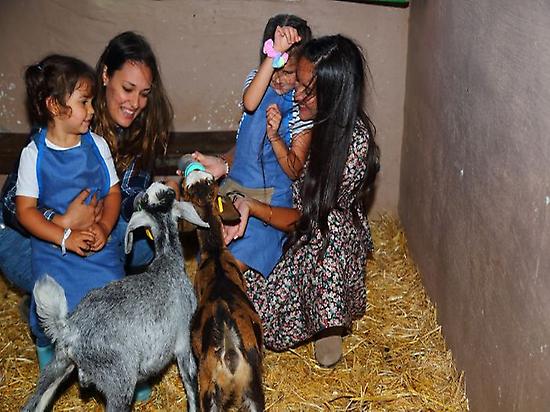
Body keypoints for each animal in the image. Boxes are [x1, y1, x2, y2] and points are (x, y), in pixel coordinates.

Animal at [182, 169, 266, 410]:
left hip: (209, 390)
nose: (193, 170)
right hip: (252, 388)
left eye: (183, 188)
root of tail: (229, 348)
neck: (215, 252)